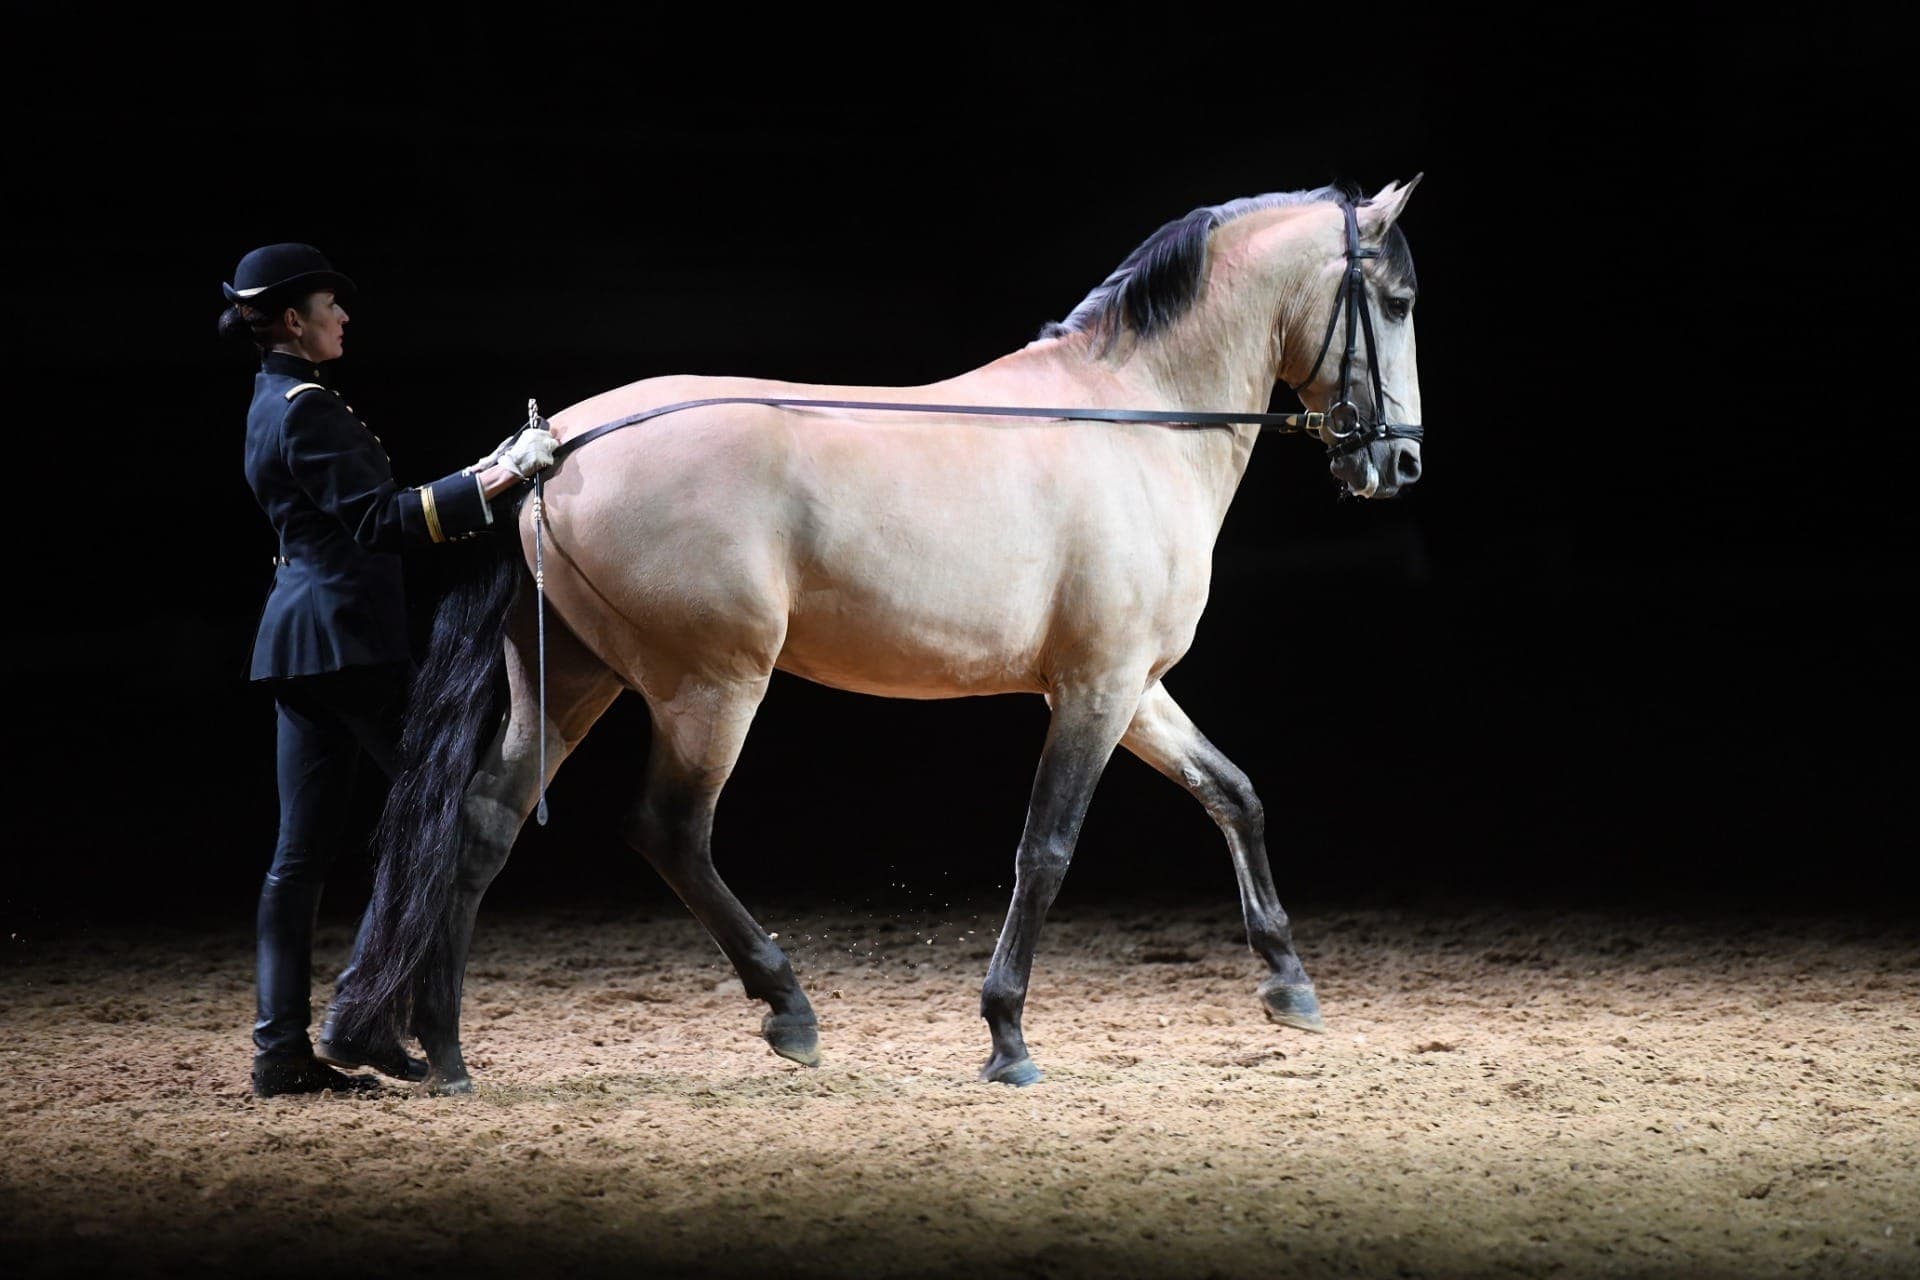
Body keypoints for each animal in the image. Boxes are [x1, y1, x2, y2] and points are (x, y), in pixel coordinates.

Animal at [331, 175, 1426, 1093]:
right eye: (1399, 300)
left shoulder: (1134, 686)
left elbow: (1232, 792)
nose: (1400, 464)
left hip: (573, 680)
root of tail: (550, 453)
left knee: (486, 819)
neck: (1135, 421)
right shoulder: (1095, 688)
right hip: (711, 687)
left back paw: (448, 1052)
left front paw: (1289, 985)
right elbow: (1046, 849)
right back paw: (789, 1009)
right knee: (669, 829)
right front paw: (1007, 1036)